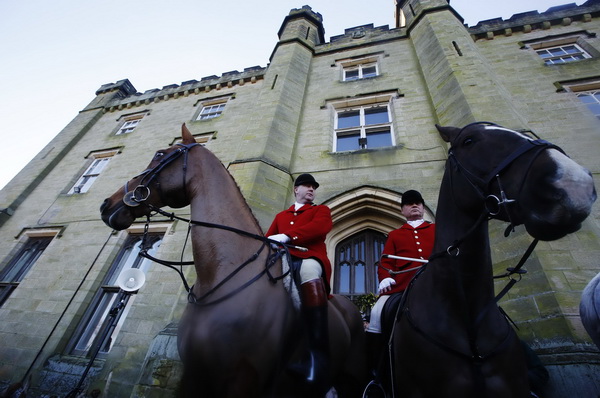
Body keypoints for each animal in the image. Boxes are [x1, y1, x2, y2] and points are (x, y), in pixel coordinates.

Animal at [99, 124, 366, 398]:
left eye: (159, 154)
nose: (107, 204)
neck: (220, 277)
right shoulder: (194, 377)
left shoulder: (242, 379)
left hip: (352, 378)